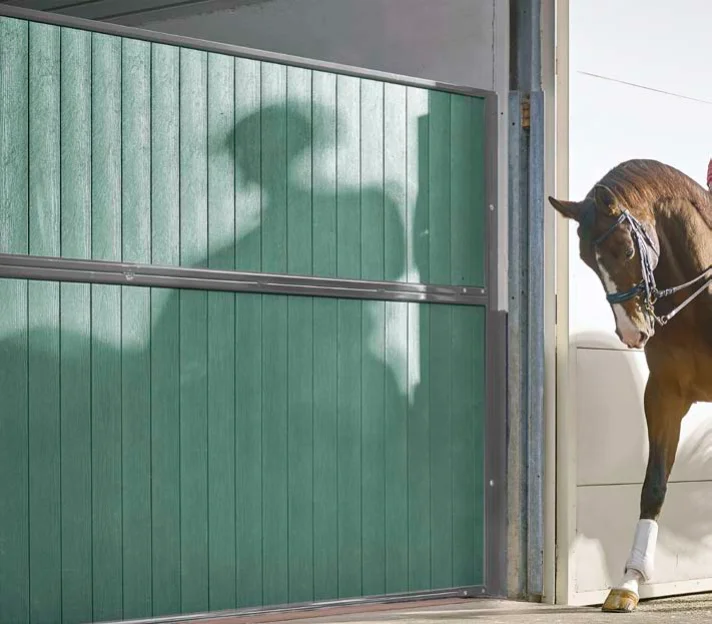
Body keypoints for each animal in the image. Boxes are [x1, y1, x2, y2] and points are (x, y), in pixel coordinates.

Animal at [549, 158, 712, 613]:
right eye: (587, 261)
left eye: (625, 250)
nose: (632, 333)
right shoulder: (663, 396)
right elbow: (653, 486)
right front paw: (628, 583)